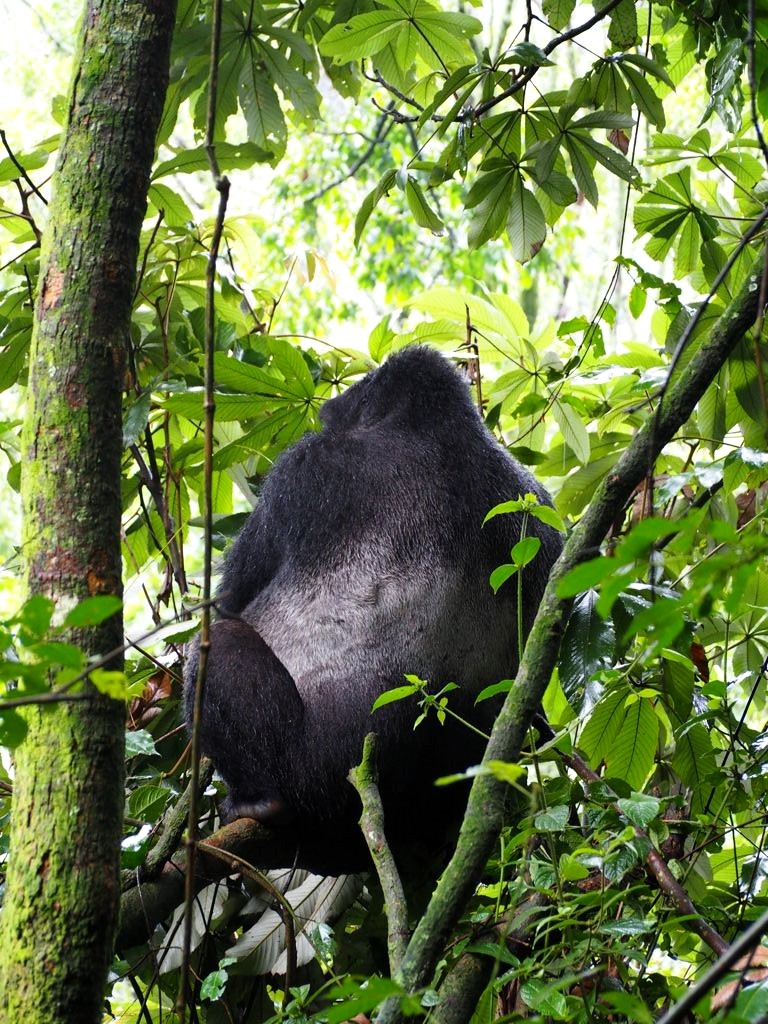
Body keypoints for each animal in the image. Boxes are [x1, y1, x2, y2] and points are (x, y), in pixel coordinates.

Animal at [185, 345, 562, 875]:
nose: (330, 405)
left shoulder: (304, 466)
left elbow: (232, 600)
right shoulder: (541, 514)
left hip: (322, 778)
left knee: (217, 648)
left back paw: (260, 802)